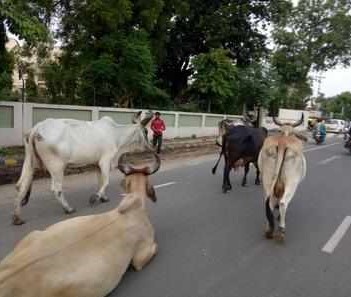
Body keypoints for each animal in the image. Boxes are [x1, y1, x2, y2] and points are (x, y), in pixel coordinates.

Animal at [13, 111, 153, 224]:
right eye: (146, 132)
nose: (152, 147)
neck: (116, 135)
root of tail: (38, 127)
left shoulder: (97, 164)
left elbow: (101, 181)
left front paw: (103, 197)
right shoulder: (105, 161)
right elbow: (106, 181)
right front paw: (95, 198)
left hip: (29, 161)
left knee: (21, 186)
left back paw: (17, 218)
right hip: (57, 166)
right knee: (56, 189)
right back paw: (68, 208)